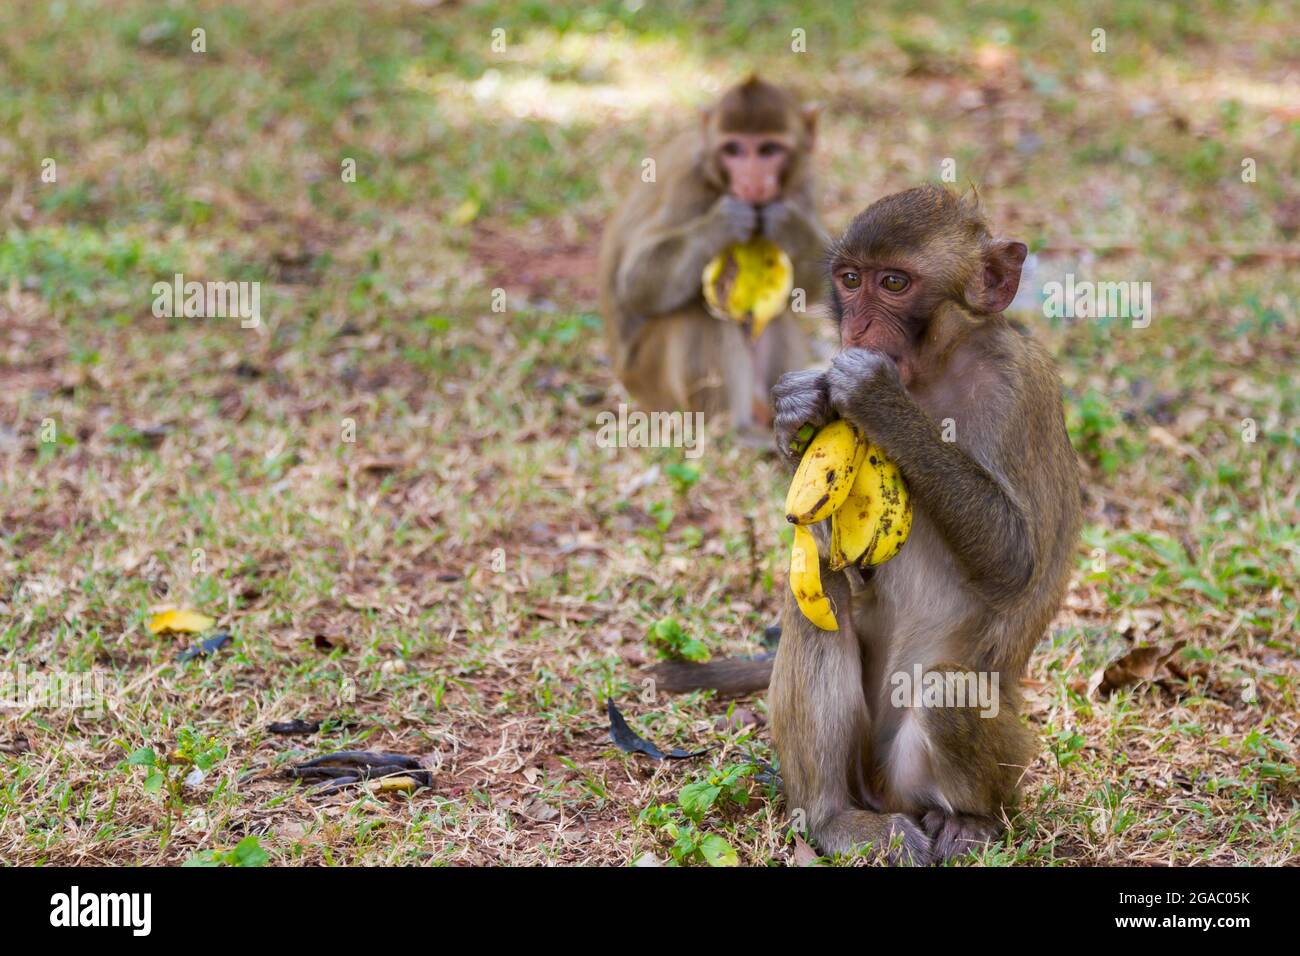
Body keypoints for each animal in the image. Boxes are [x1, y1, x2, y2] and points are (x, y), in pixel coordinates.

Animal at [598, 76, 827, 437]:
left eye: (768, 150)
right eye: (733, 149)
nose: (751, 183)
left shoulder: (804, 182)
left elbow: (814, 286)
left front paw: (787, 225)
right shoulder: (687, 184)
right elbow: (636, 282)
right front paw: (721, 224)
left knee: (773, 315)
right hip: (651, 383)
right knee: (700, 313)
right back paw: (737, 428)